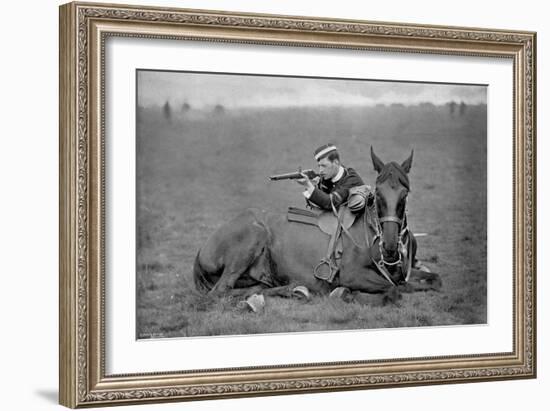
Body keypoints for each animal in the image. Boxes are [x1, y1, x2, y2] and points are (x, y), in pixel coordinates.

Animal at [194, 148, 444, 306]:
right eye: (379, 193)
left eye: (405, 194)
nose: (390, 246)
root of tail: (201, 251)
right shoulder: (353, 275)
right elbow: (393, 291)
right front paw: (345, 294)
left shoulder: (403, 273)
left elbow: (433, 280)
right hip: (253, 236)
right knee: (220, 292)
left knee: (252, 288)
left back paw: (292, 290)